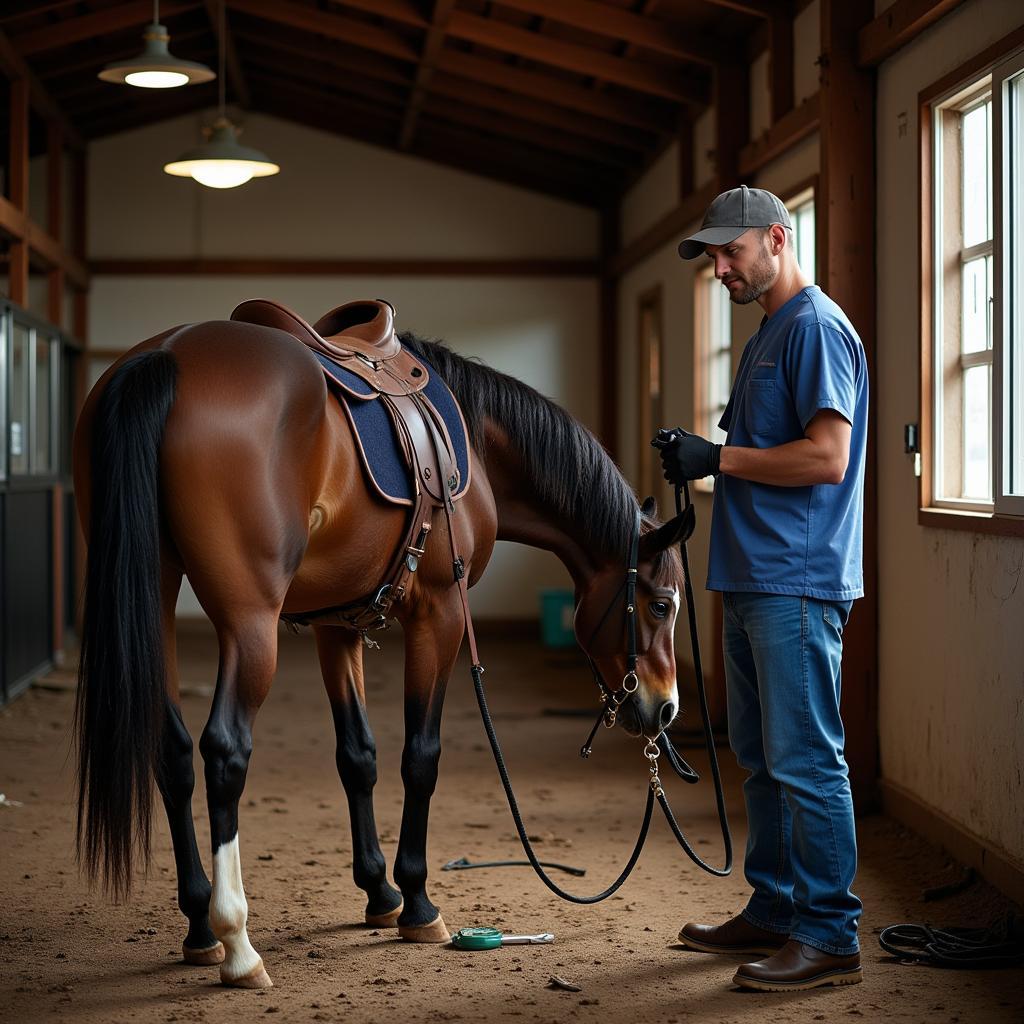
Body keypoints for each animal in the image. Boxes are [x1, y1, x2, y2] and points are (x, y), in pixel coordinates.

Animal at [72, 299, 692, 987]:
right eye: (662, 604)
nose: (666, 708)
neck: (476, 441)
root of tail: (169, 354)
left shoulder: (335, 624)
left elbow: (359, 756)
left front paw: (379, 893)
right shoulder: (440, 614)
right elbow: (420, 756)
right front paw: (418, 903)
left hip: (153, 595)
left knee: (173, 751)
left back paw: (199, 923)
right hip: (250, 622)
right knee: (224, 752)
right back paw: (235, 940)